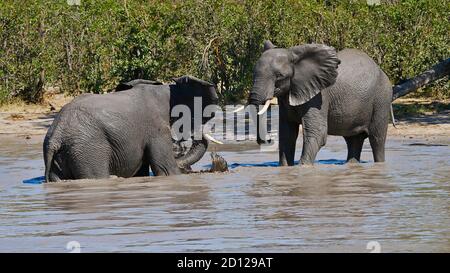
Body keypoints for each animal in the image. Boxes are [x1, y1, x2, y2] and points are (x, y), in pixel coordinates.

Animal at [248, 40, 392, 164]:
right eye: (253, 73)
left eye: (279, 76)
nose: (267, 140)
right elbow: (287, 136)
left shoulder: (319, 97)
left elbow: (317, 133)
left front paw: (303, 168)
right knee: (353, 140)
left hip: (382, 99)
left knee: (377, 140)